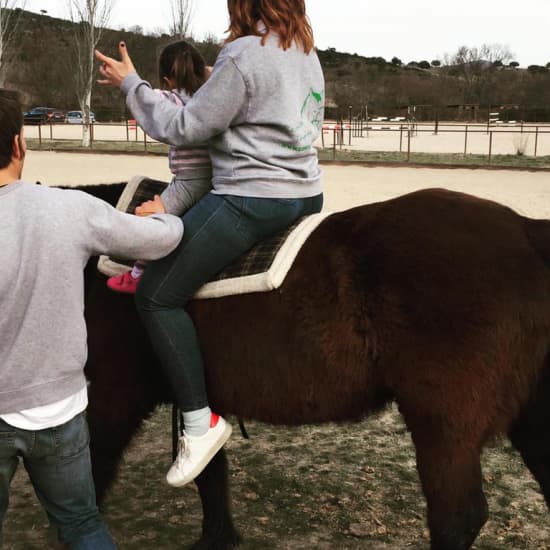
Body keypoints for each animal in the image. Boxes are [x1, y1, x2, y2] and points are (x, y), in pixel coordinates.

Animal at [80, 185, 550, 550]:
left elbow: (89, 476)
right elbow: (211, 475)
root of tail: (526, 233)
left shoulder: (112, 396)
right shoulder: (198, 397)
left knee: (456, 519)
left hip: (444, 424)